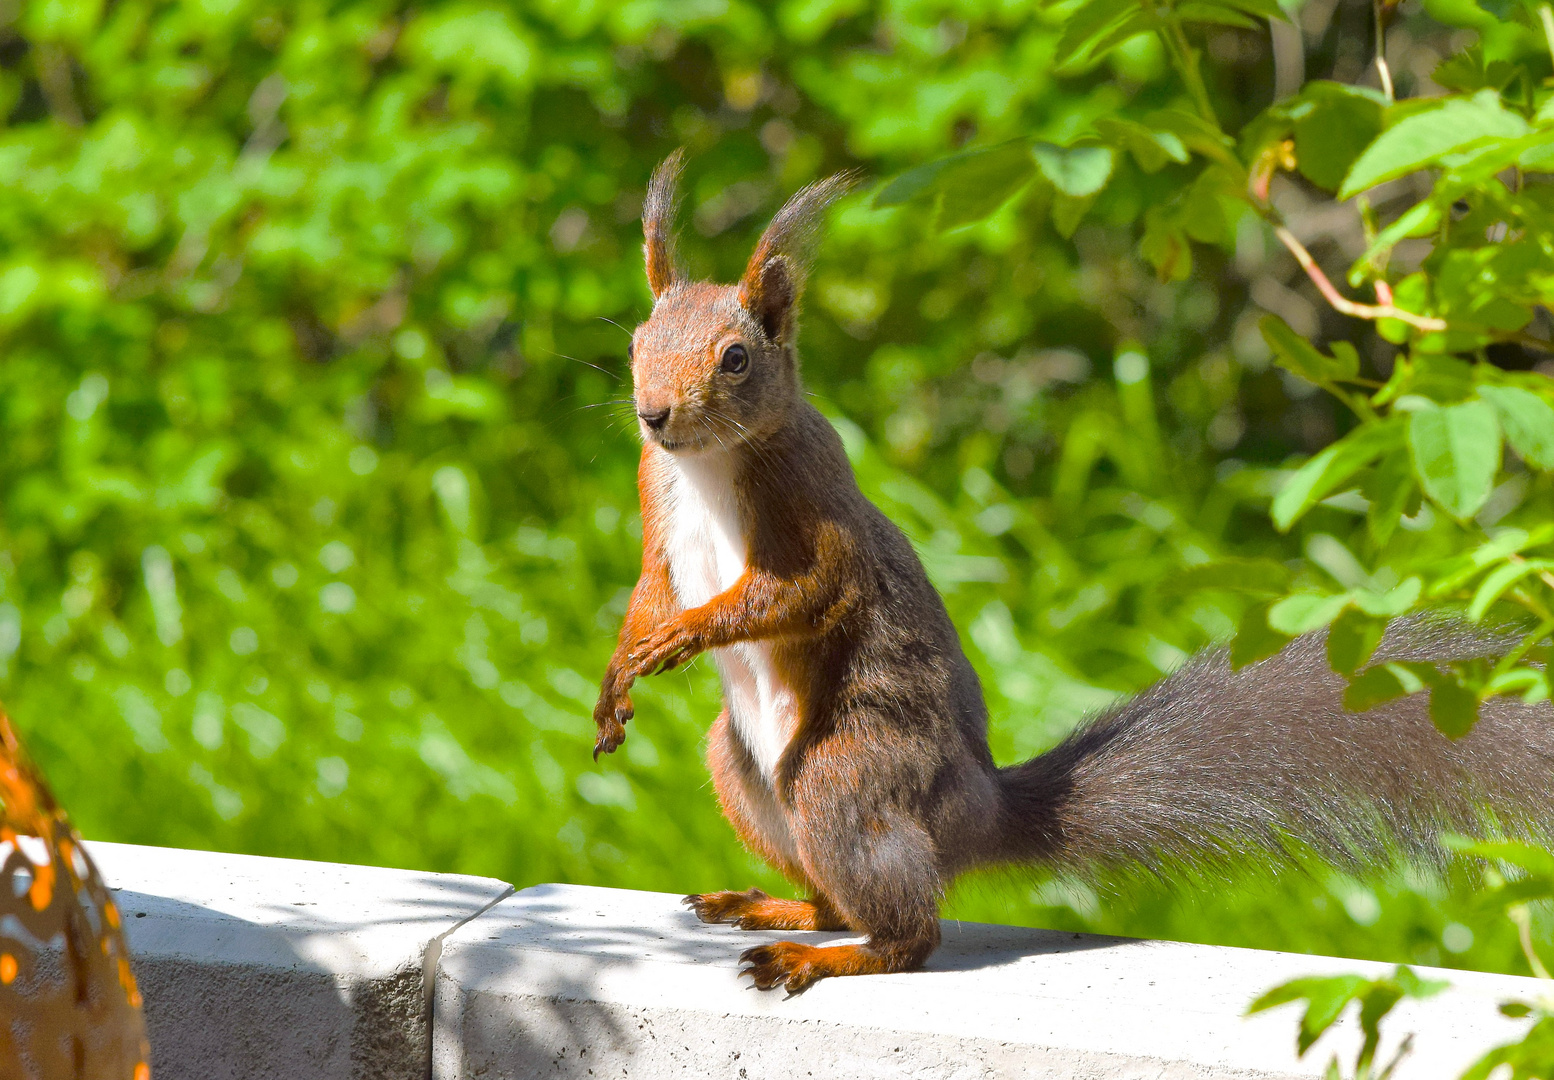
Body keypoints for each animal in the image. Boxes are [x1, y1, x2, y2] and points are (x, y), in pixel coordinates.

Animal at [587, 153, 1554, 994]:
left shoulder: (812, 504)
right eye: (637, 342)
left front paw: (686, 634)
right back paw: (780, 909)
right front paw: (622, 669)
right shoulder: (650, 493)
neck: (707, 465)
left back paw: (824, 955)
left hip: (843, 771)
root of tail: (972, 816)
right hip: (741, 767)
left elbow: (803, 592)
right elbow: (649, 588)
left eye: (735, 357)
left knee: (909, 931)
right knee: (836, 898)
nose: (653, 413)